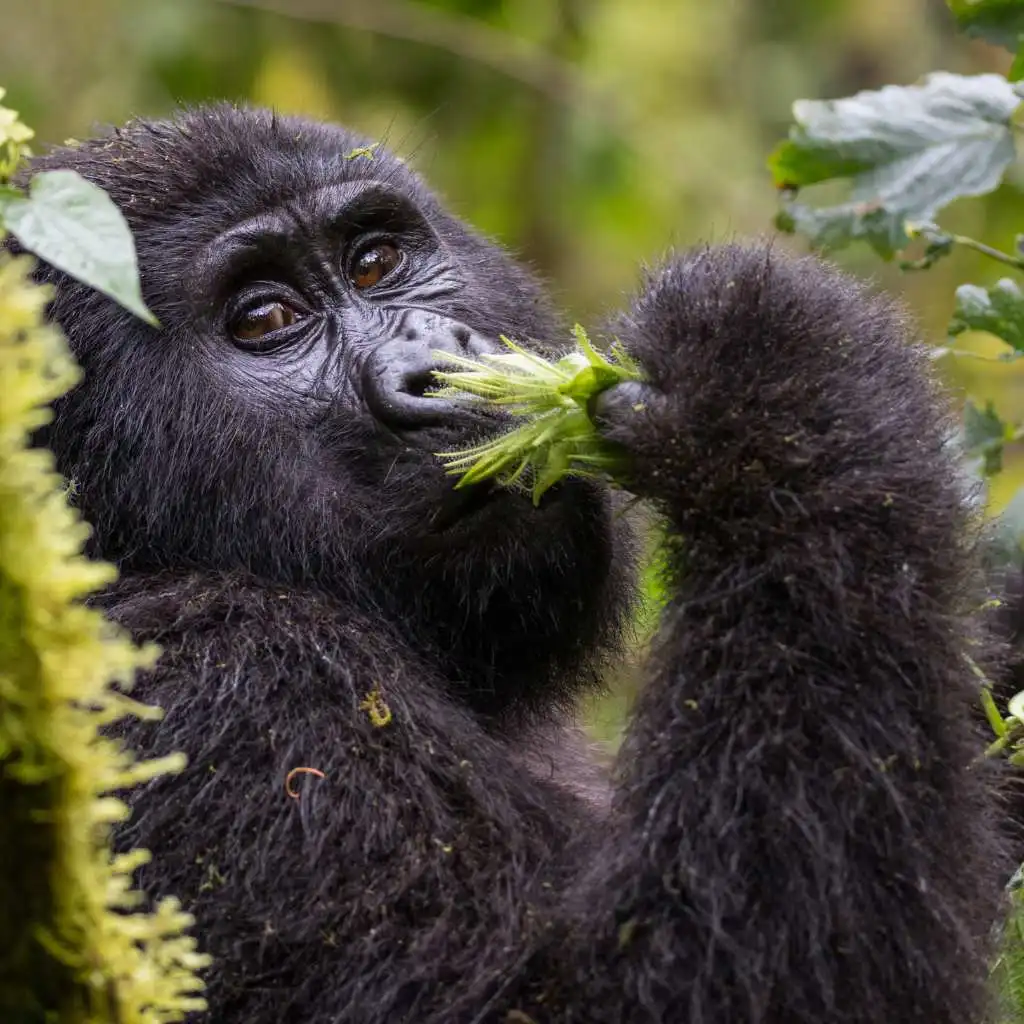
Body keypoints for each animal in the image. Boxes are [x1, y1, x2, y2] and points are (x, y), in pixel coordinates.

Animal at [12, 108, 1011, 1019]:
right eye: (266, 319)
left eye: (375, 260)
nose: (438, 366)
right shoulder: (215, 680)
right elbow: (618, 996)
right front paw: (772, 375)